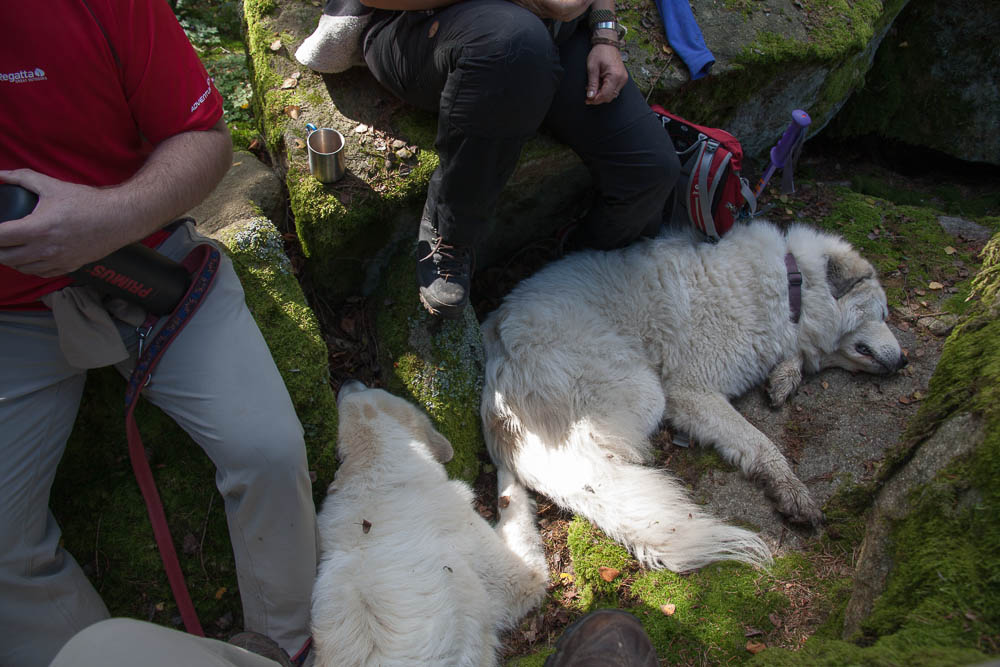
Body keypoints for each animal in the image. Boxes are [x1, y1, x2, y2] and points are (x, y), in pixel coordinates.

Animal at [312, 380, 548, 667]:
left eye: (355, 390)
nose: (348, 382)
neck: (374, 480)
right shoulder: (517, 578)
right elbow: (512, 502)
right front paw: (510, 467)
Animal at [480, 220, 912, 576]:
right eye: (884, 313)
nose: (906, 360)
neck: (793, 288)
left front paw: (784, 377)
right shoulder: (692, 391)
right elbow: (761, 442)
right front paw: (791, 489)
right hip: (643, 391)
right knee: (606, 464)